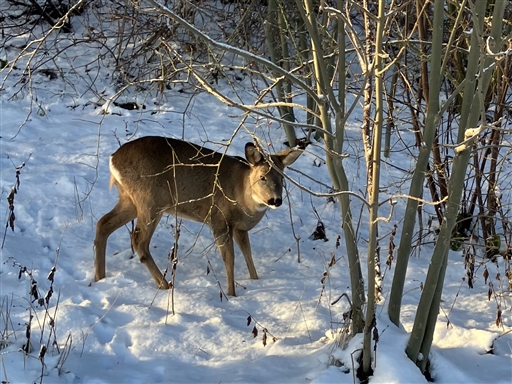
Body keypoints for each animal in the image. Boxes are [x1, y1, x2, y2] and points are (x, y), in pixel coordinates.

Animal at [94, 136, 302, 296]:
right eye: (262, 177)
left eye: (282, 178)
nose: (275, 200)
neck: (241, 193)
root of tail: (113, 159)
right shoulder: (218, 220)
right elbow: (230, 258)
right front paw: (231, 294)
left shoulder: (239, 228)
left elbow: (247, 253)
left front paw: (255, 280)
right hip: (149, 200)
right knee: (138, 240)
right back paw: (165, 285)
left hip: (129, 199)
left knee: (102, 223)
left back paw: (99, 277)